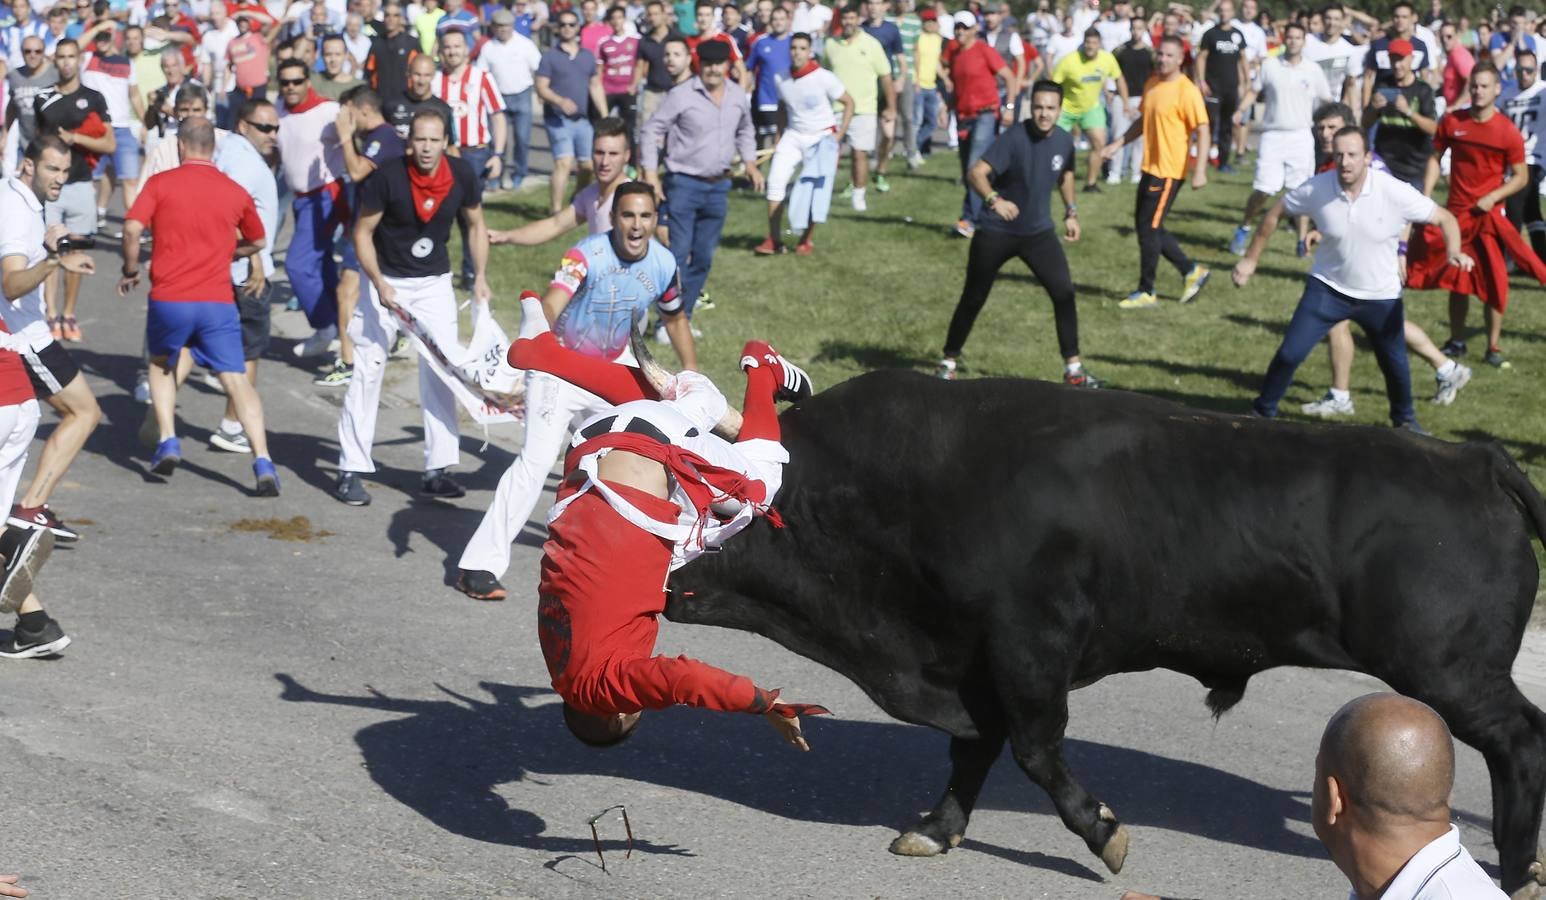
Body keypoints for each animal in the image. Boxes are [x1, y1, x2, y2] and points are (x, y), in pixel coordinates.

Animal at [670, 371, 1546, 896]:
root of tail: (1473, 459)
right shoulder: (974, 662)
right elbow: (974, 751)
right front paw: (937, 829)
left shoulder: (1029, 644)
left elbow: (1034, 749)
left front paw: (1102, 833)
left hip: (1447, 667)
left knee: (1520, 739)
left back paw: (1518, 864)